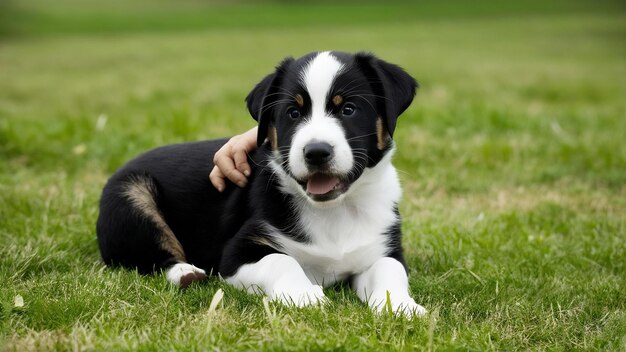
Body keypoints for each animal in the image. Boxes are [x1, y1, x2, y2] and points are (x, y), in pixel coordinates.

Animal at [96, 51, 424, 314]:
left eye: (349, 109)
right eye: (293, 112)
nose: (316, 152)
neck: (334, 211)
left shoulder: (382, 247)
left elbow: (389, 270)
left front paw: (402, 306)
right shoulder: (237, 253)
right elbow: (282, 261)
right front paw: (306, 295)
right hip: (131, 196)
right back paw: (186, 273)